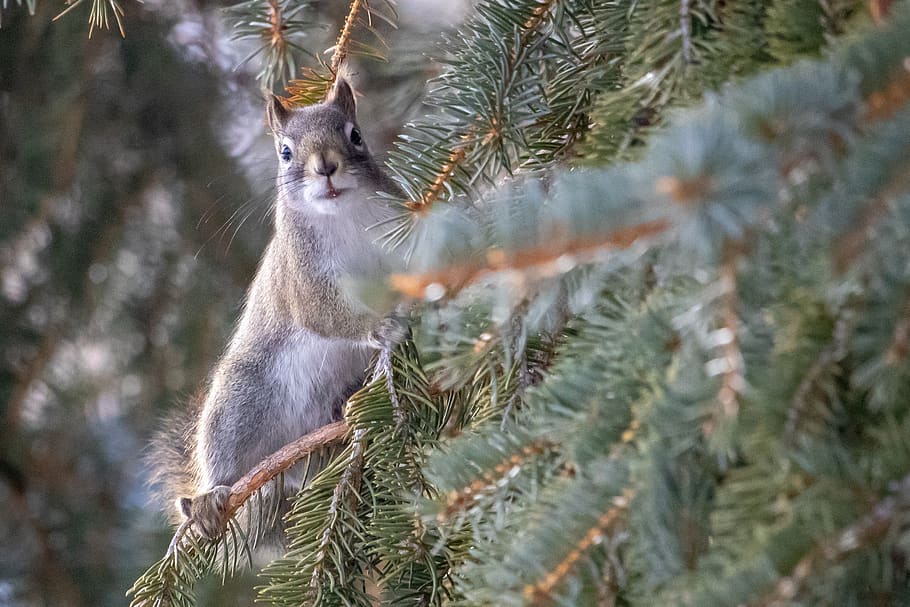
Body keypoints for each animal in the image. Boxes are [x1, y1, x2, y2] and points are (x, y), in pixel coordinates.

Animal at [149, 76, 404, 544]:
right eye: (285, 152)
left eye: (355, 135)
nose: (326, 166)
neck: (342, 215)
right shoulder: (301, 277)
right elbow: (324, 313)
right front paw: (381, 325)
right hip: (240, 400)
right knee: (223, 458)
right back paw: (210, 500)